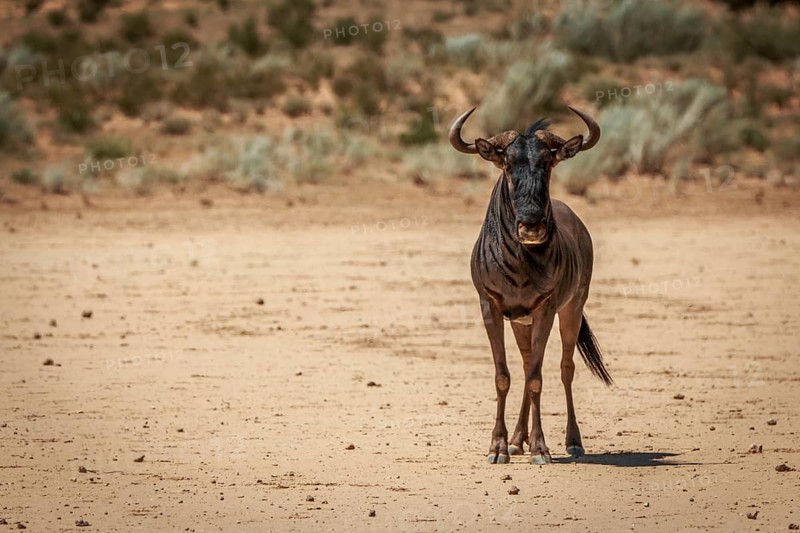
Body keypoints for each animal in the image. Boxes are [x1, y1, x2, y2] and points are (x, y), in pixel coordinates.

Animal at [450, 106, 612, 465]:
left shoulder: (545, 309)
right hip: (520, 323)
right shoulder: (491, 307)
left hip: (572, 309)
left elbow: (538, 378)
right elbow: (504, 376)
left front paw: (540, 448)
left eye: (548, 163)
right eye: (508, 164)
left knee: (565, 368)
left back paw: (573, 442)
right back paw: (516, 440)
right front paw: (498, 447)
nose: (532, 225)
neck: (520, 264)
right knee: (525, 366)